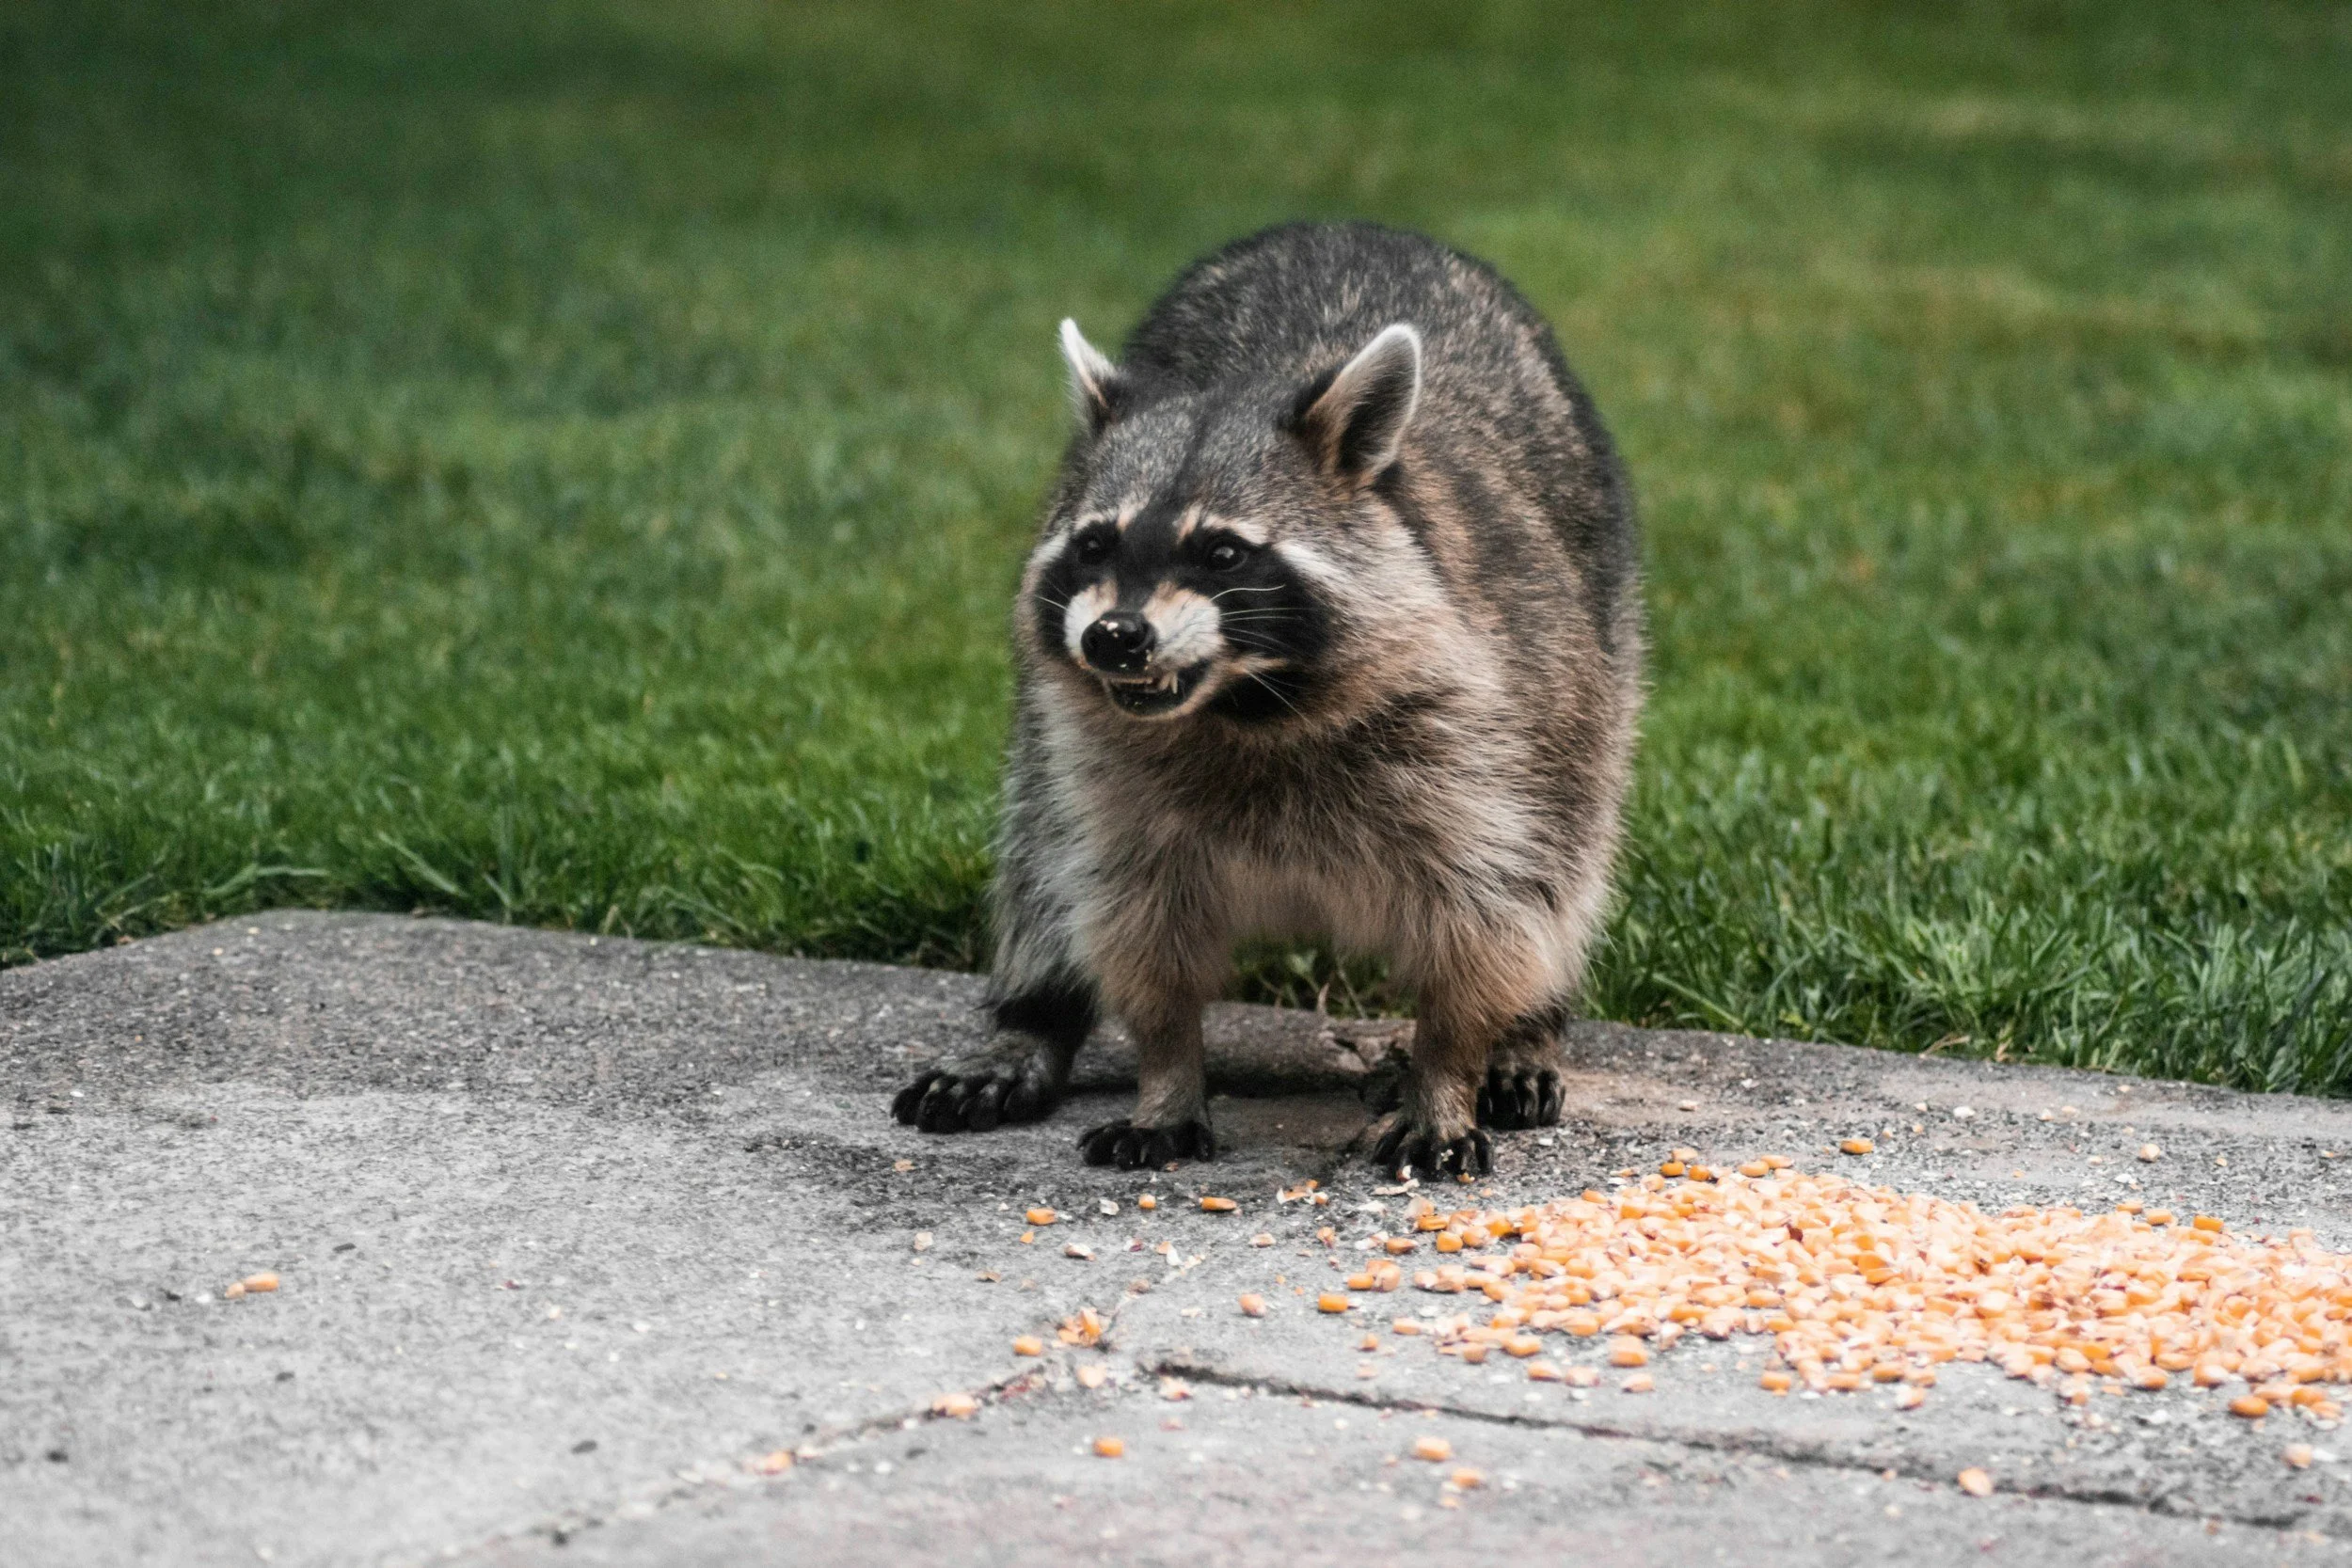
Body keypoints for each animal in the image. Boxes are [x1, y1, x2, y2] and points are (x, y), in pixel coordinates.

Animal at [891, 222, 1642, 1176]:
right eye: (1095, 544)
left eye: (1221, 553)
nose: (1114, 637)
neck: (1245, 703)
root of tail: (1351, 225)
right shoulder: (1111, 773)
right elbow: (1135, 927)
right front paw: (1167, 1075)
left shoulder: (1482, 733)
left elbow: (1487, 914)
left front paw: (1448, 1070)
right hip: (1042, 732)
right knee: (1039, 848)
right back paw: (1029, 1015)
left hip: (1596, 662)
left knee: (1570, 854)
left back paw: (1527, 1031)